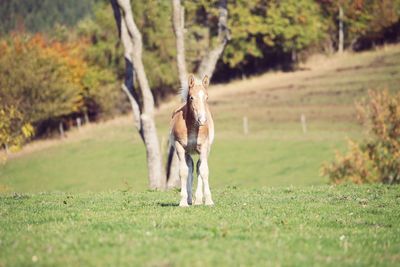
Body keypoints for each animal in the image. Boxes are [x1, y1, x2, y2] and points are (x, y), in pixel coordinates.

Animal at [168, 74, 214, 208]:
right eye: (191, 97)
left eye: (206, 97)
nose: (202, 120)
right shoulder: (180, 147)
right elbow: (184, 172)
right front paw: (183, 202)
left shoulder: (203, 147)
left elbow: (204, 171)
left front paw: (209, 201)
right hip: (187, 152)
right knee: (190, 168)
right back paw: (190, 199)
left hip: (204, 150)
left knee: (198, 167)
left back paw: (198, 200)